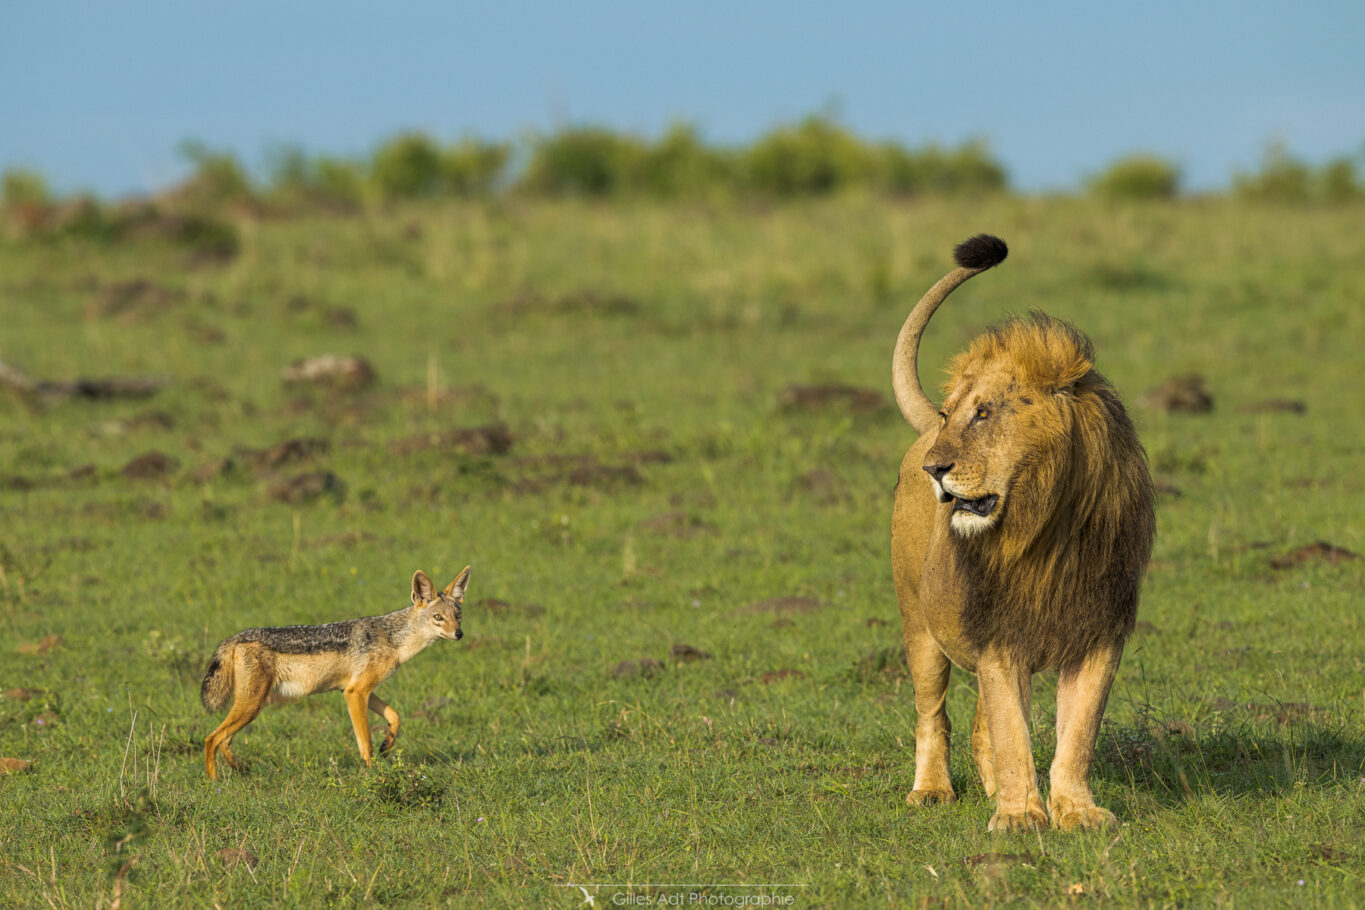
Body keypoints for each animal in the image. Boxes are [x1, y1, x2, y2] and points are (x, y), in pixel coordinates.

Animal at [889, 234, 1157, 834]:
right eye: (952, 413)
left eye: (985, 413)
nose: (935, 469)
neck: (1045, 528)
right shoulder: (998, 637)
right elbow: (1013, 731)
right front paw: (1018, 818)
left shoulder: (1099, 634)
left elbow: (1076, 735)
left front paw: (1075, 811)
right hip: (919, 625)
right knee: (932, 714)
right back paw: (931, 791)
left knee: (980, 725)